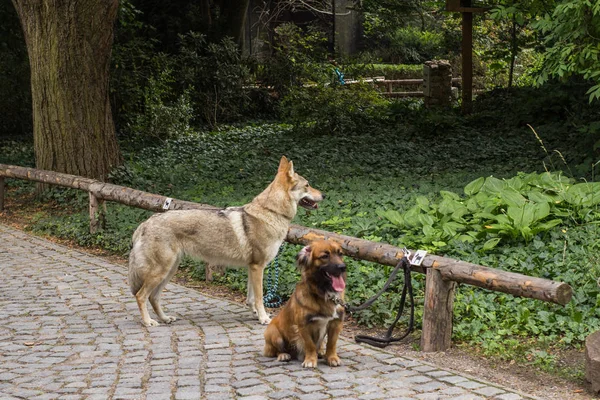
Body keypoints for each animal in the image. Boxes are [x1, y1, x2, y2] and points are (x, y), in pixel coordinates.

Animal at [127, 155, 324, 326]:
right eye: (307, 185)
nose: (323, 195)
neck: (271, 212)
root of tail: (145, 223)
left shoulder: (252, 268)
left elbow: (251, 298)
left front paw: (255, 314)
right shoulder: (258, 267)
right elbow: (260, 298)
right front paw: (264, 318)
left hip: (169, 271)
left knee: (153, 297)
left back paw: (165, 318)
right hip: (161, 272)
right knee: (141, 296)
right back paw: (148, 322)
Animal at [264, 239, 346, 368]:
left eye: (340, 254)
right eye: (325, 256)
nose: (343, 267)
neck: (323, 293)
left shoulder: (336, 322)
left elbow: (332, 343)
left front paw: (332, 357)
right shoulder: (304, 325)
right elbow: (310, 345)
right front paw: (310, 360)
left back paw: (321, 352)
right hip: (274, 334)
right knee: (276, 350)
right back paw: (283, 355)